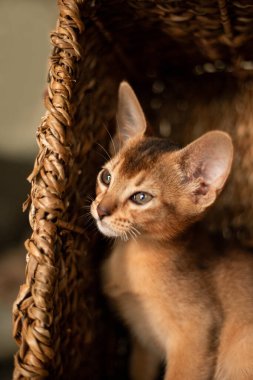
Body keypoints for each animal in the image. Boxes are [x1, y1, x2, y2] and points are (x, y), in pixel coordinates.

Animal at [90, 83, 253, 380]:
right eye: (106, 177)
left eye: (141, 197)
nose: (101, 210)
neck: (132, 256)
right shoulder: (143, 342)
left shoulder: (196, 332)